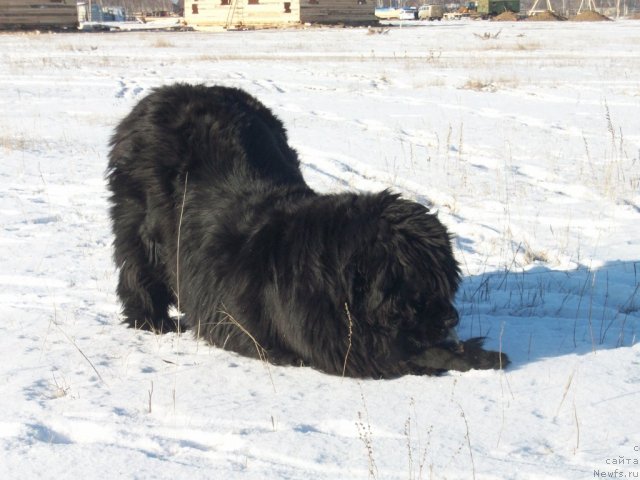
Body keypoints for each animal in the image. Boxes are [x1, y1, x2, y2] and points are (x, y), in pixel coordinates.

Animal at [106, 83, 510, 378]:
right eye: (419, 292)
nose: (451, 318)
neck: (341, 285)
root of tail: (165, 92)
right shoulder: (336, 345)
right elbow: (405, 354)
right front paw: (480, 355)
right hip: (137, 221)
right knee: (137, 270)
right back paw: (152, 321)